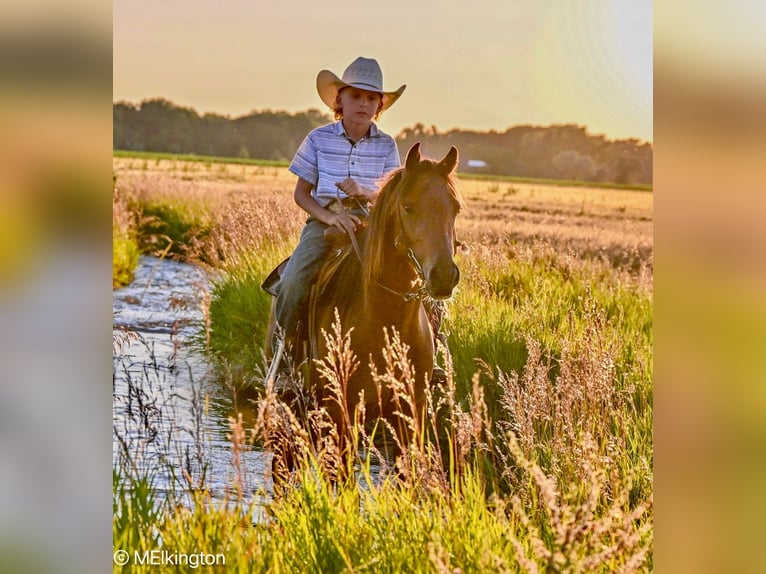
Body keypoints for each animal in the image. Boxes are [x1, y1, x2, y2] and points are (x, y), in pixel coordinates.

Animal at [264, 142, 462, 474]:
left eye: (455, 208)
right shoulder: (341, 413)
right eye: (407, 206)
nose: (444, 276)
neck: (385, 321)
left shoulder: (411, 415)